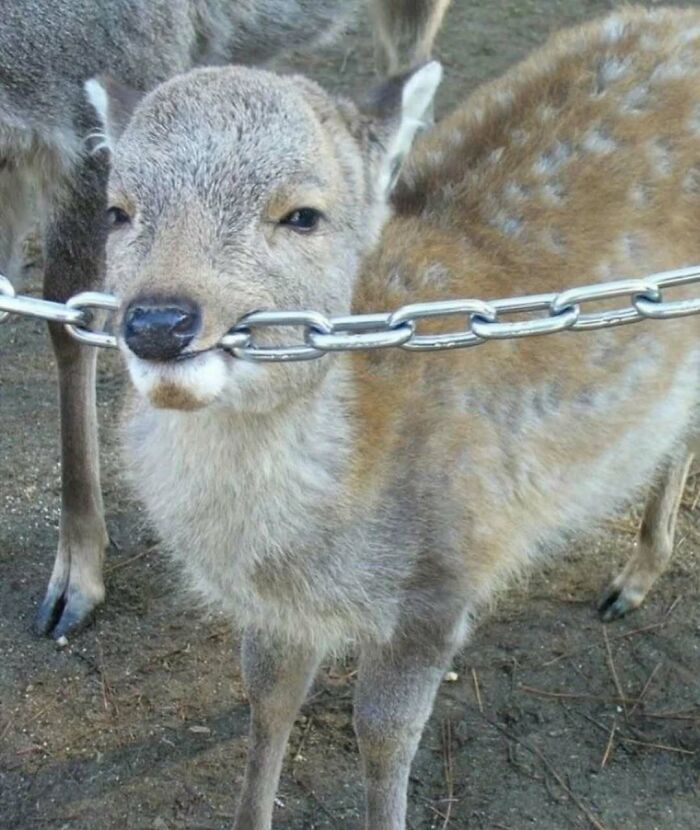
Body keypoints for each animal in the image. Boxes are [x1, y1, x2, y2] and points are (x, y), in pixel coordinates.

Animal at [86, 6, 699, 828]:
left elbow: (382, 735)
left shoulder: (443, 580)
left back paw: (630, 580)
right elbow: (267, 699)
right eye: (117, 210)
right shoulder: (275, 611)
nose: (159, 321)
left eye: (302, 214)